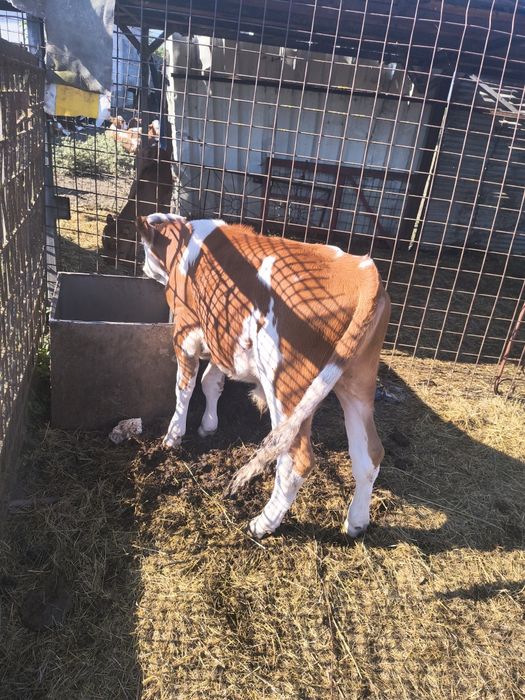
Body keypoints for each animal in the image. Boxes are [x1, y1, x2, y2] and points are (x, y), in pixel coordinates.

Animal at [137, 213, 391, 539]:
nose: (143, 267)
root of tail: (364, 272)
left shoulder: (186, 330)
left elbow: (185, 387)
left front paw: (173, 436)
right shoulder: (222, 336)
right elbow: (211, 382)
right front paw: (208, 425)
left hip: (286, 384)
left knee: (296, 460)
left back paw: (263, 523)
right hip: (358, 382)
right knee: (369, 455)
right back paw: (356, 522)